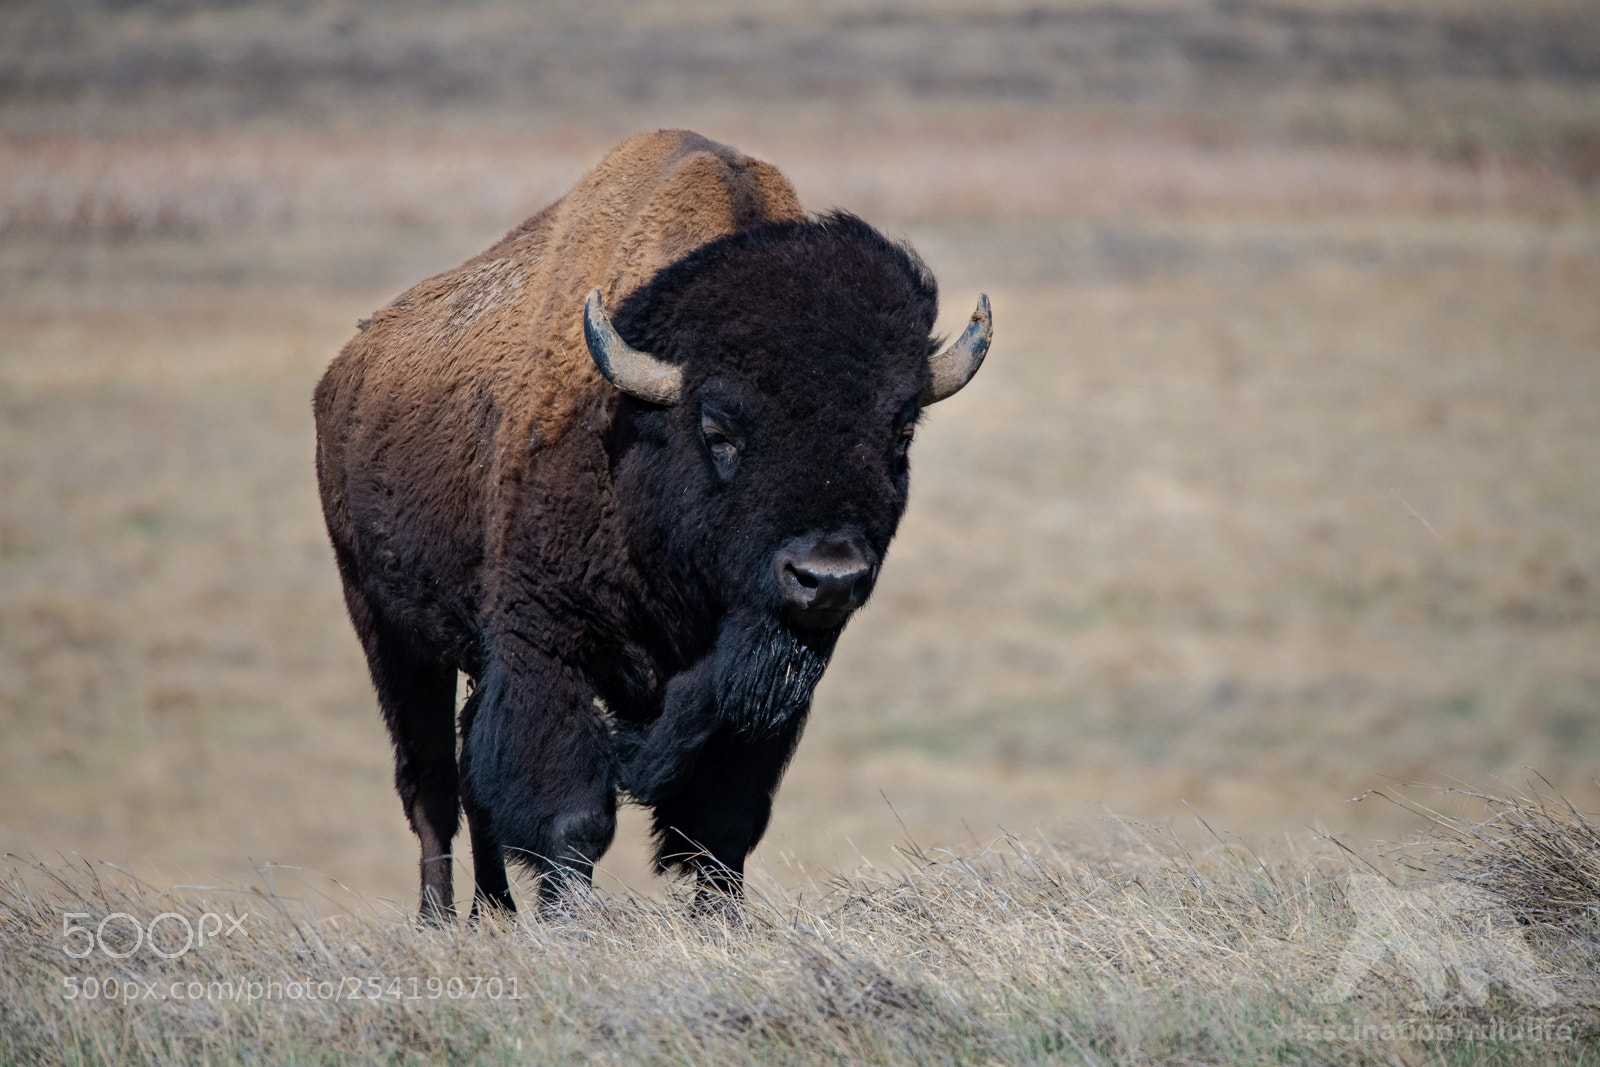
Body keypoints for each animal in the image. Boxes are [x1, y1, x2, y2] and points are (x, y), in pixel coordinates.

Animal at [313, 130, 992, 919]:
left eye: (901, 431)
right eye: (720, 429)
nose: (827, 577)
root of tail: (343, 374)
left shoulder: (768, 688)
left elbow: (723, 822)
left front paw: (718, 923)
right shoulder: (547, 645)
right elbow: (570, 814)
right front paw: (569, 925)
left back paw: (495, 912)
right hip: (387, 629)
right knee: (431, 785)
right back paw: (440, 920)